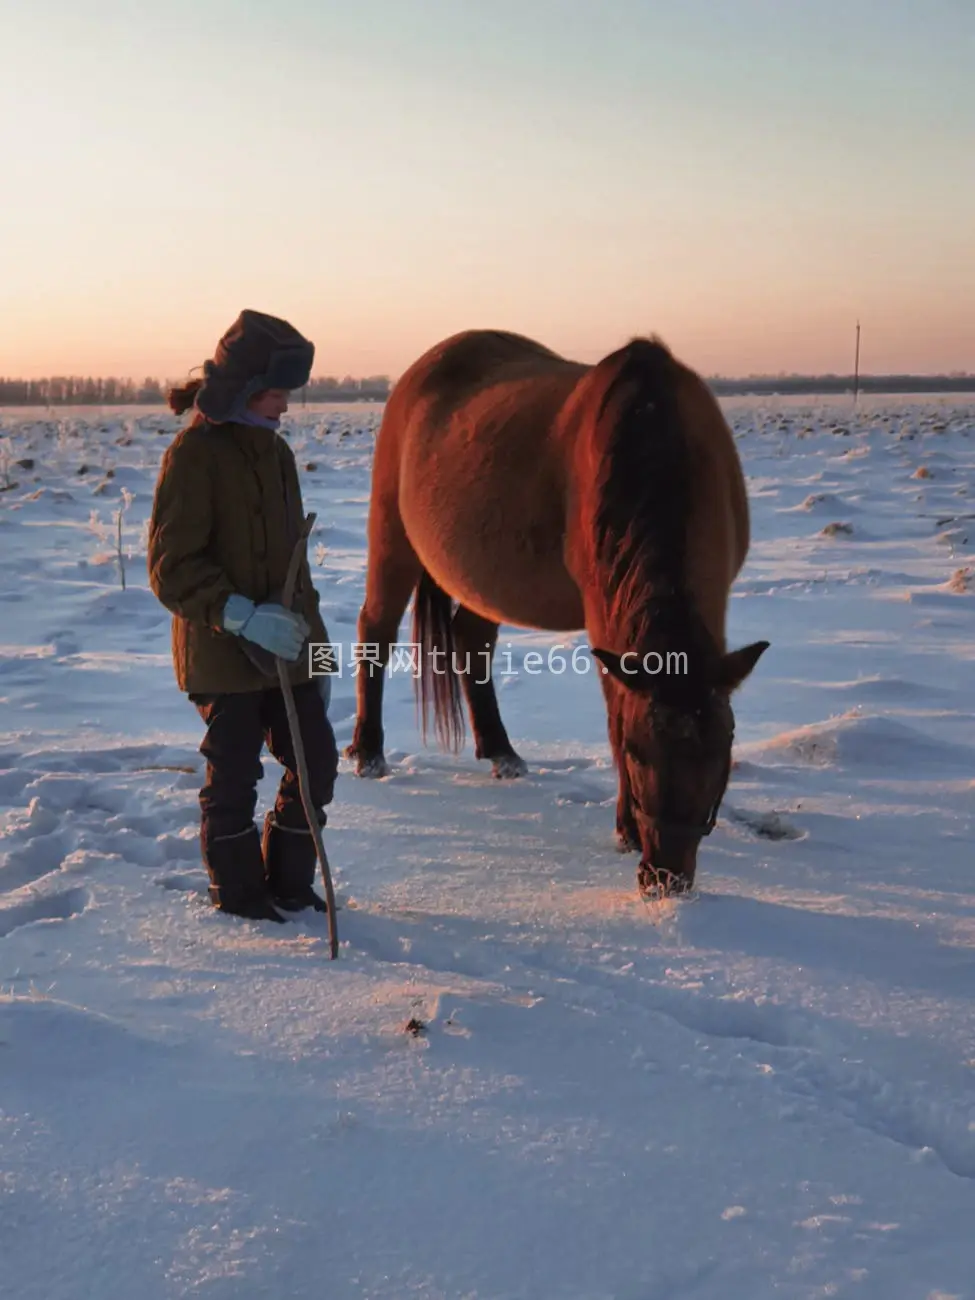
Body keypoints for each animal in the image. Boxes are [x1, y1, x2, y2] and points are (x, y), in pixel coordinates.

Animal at [348, 327, 769, 894]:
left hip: (488, 579)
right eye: (636, 753)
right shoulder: (604, 617)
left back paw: (501, 752)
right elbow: (613, 714)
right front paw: (624, 828)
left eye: (721, 754)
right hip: (392, 540)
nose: (663, 877)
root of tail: (419, 372)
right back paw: (369, 752)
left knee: (471, 642)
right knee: (375, 629)